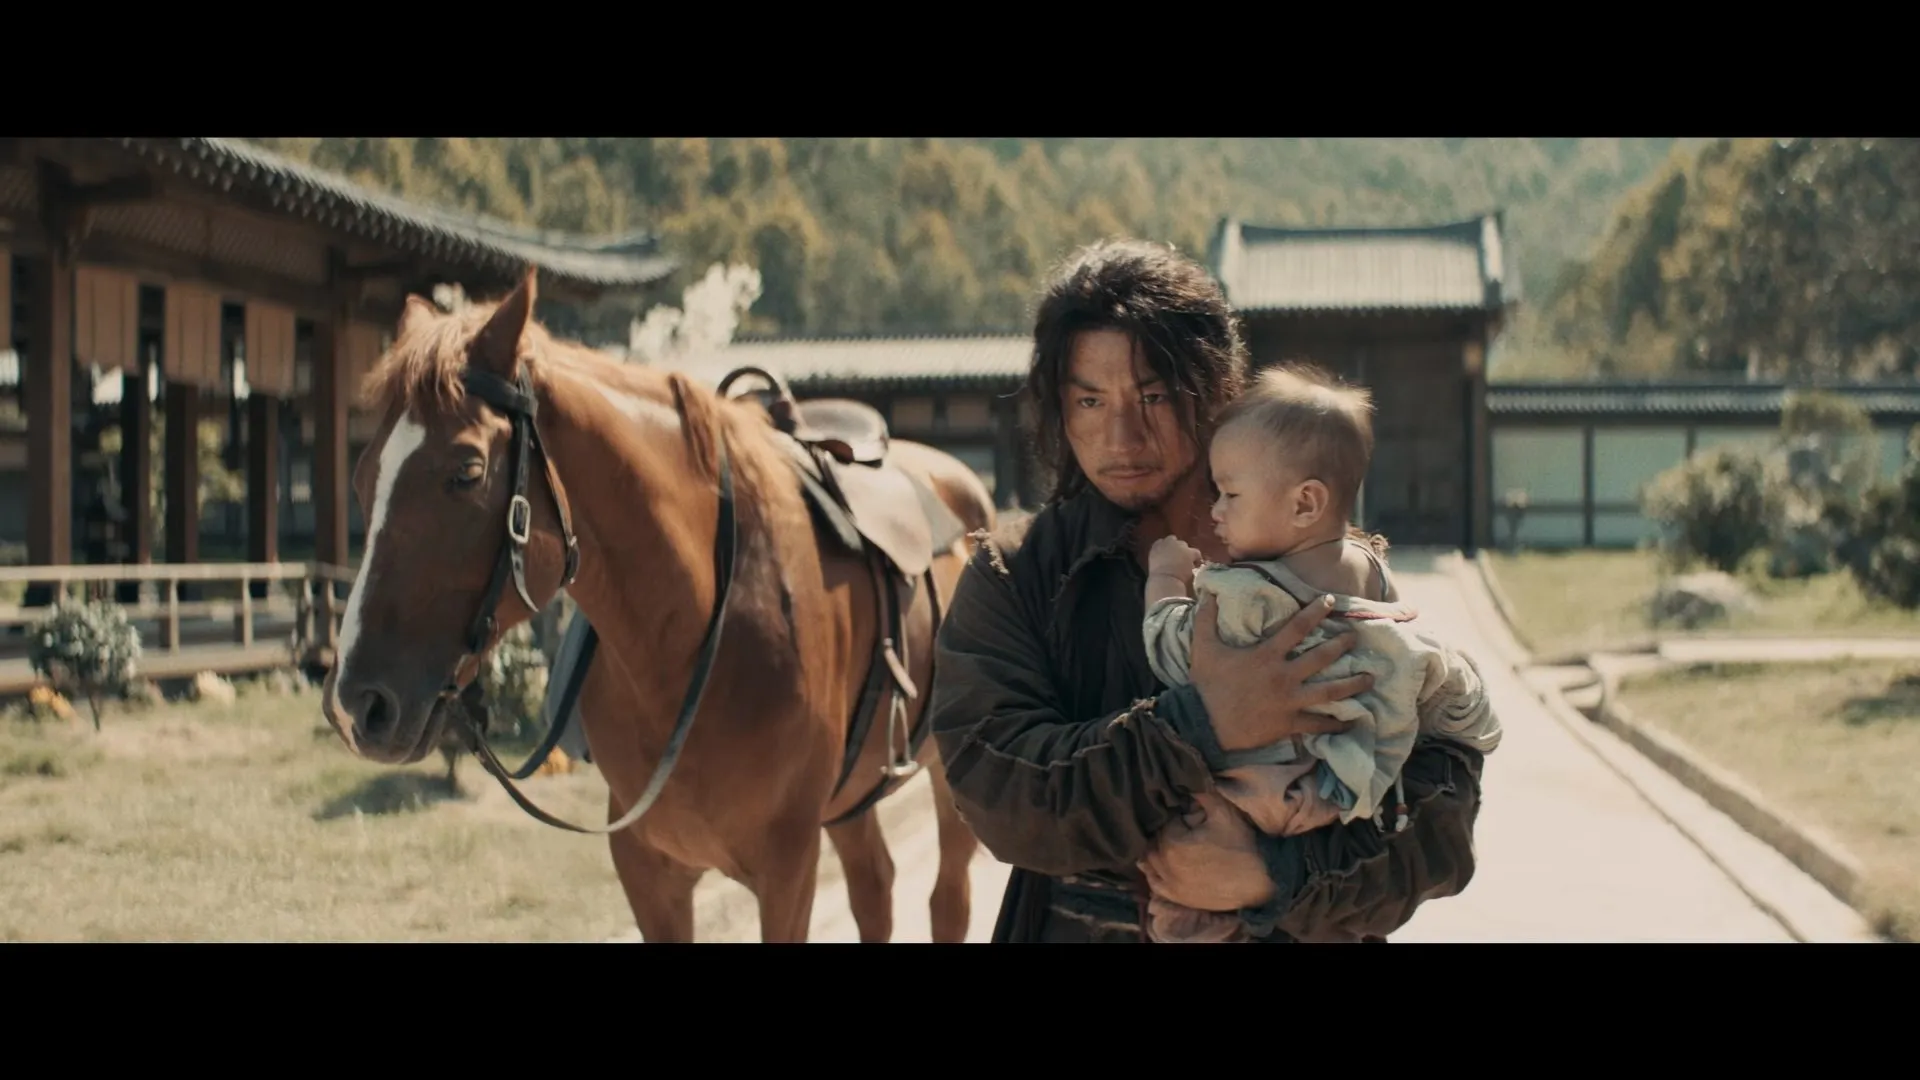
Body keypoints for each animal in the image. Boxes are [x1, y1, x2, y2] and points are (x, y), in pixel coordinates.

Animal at [317, 266, 996, 942]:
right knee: (875, 886)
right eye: (362, 478)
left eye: (466, 471)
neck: (687, 640)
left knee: (947, 898)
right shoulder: (648, 872)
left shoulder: (787, 870)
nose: (357, 705)